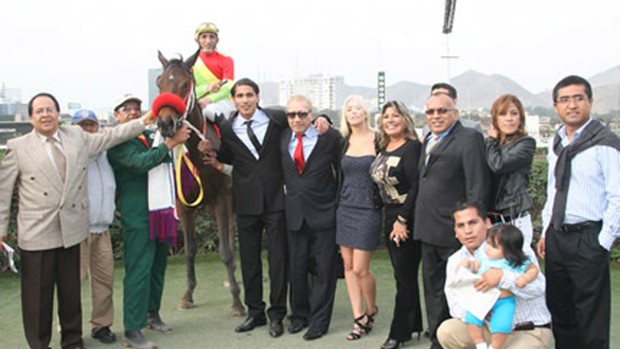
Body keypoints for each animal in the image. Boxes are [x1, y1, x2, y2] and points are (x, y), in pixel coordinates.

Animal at [155, 49, 245, 316]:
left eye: (185, 84)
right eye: (159, 83)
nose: (165, 123)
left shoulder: (222, 199)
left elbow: (225, 251)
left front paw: (237, 303)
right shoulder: (184, 205)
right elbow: (190, 250)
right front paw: (187, 295)